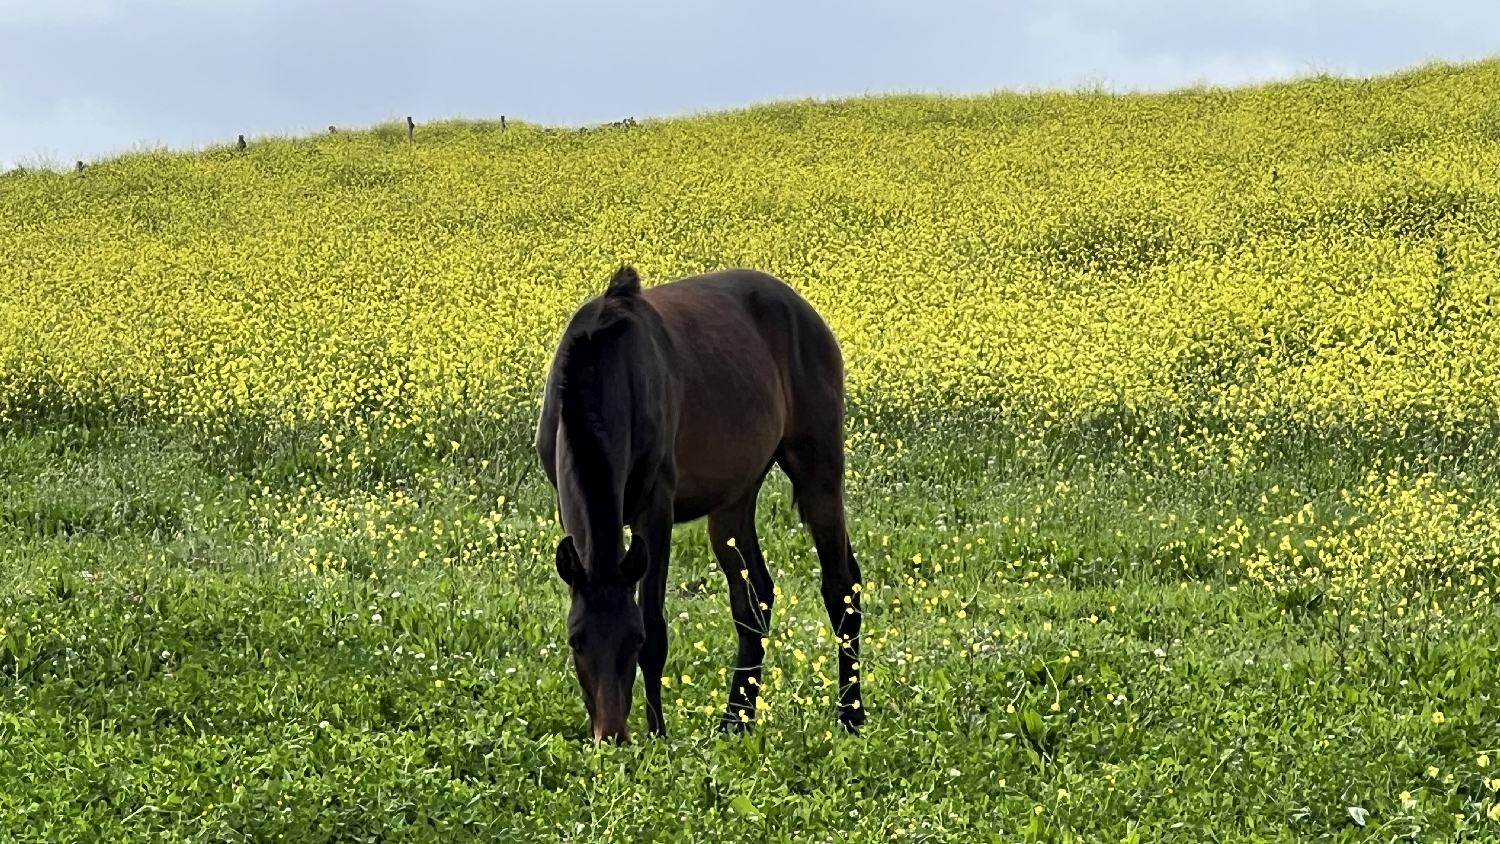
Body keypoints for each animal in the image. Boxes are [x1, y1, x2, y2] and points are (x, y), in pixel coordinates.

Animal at [537, 265, 870, 746]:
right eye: (576, 639)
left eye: (632, 640)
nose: (611, 736)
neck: (605, 368)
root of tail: (804, 311)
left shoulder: (655, 512)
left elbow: (657, 626)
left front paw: (658, 733)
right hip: (735, 497)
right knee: (755, 598)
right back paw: (737, 719)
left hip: (818, 470)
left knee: (841, 586)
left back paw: (850, 714)